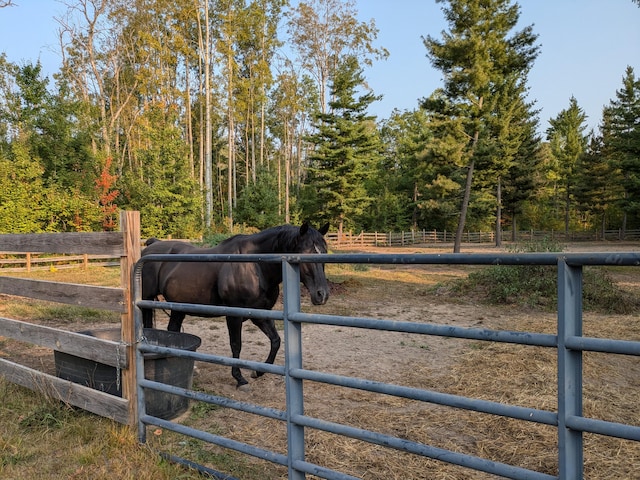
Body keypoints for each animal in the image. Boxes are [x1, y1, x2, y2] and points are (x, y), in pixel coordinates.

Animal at [140, 223, 330, 388]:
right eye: (305, 253)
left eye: (325, 252)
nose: (322, 294)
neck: (255, 265)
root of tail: (152, 245)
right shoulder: (234, 316)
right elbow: (236, 344)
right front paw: (239, 378)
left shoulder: (260, 313)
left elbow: (275, 340)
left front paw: (258, 372)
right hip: (147, 300)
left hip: (179, 307)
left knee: (173, 331)